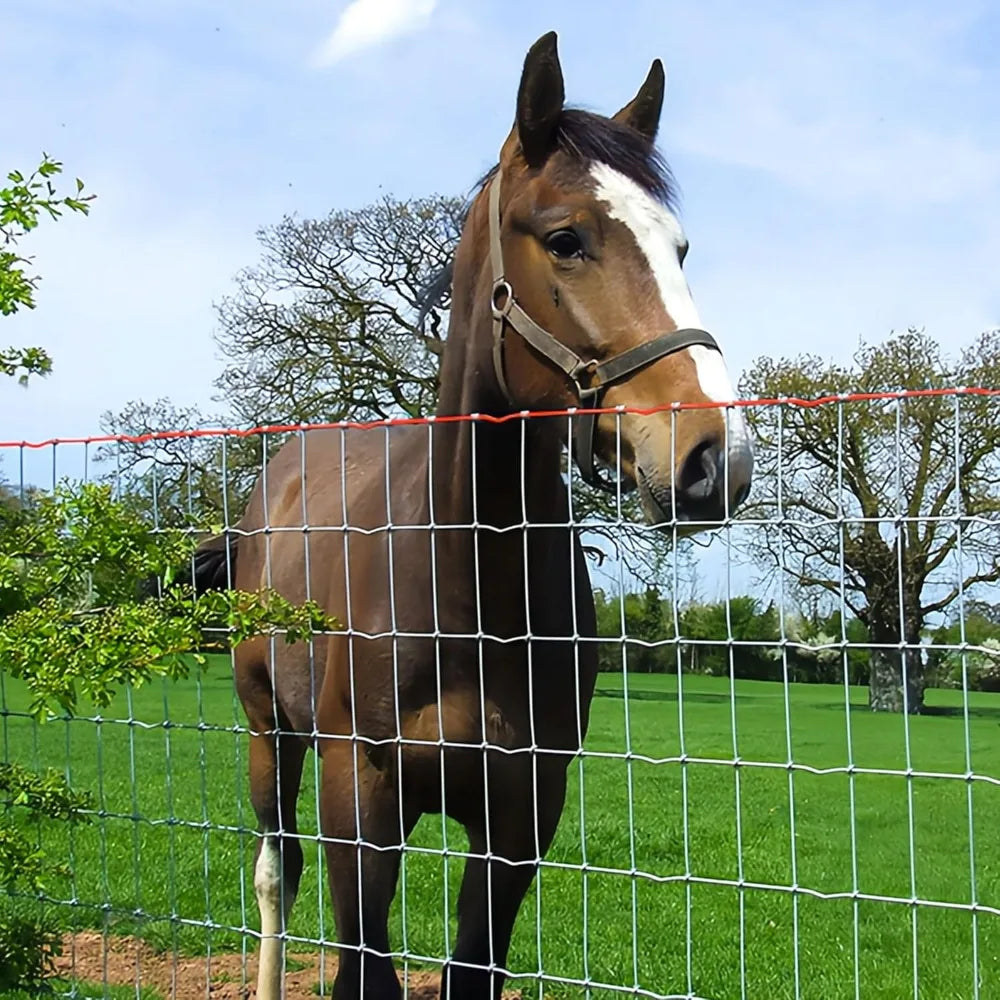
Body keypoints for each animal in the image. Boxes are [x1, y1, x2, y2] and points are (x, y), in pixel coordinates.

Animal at [193, 31, 754, 1000]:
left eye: (680, 248)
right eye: (566, 239)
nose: (716, 457)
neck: (466, 592)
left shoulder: (522, 819)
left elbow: (472, 968)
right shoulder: (361, 804)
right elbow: (361, 966)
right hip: (270, 732)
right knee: (273, 872)